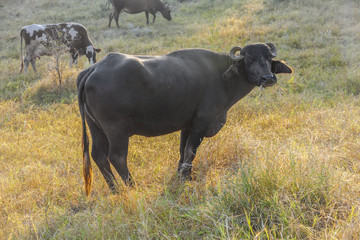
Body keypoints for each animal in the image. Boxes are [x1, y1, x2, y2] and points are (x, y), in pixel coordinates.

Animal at [76, 42, 292, 196]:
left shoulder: (187, 125)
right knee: (117, 157)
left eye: (268, 57)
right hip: (116, 130)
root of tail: (92, 70)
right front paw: (187, 177)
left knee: (98, 156)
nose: (268, 78)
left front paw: (182, 176)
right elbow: (191, 150)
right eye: (248, 58)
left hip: (96, 129)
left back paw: (114, 189)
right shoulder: (202, 122)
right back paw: (132, 186)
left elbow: (182, 151)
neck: (221, 77)